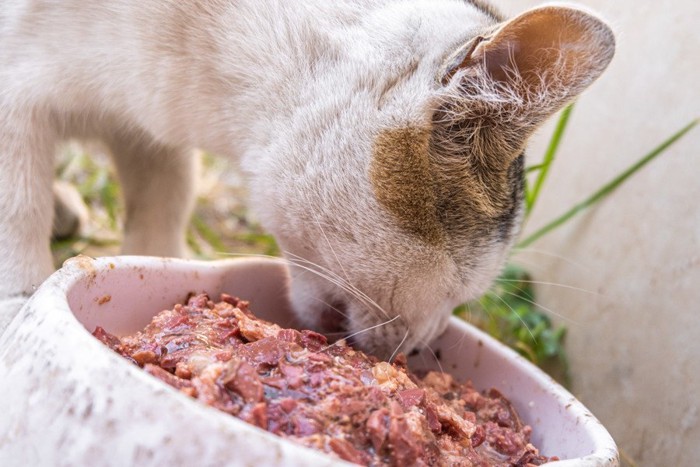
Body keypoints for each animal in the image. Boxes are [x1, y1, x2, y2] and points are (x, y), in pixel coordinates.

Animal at [0, 0, 612, 358]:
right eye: (462, 289)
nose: (426, 345)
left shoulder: (146, 132)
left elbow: (164, 206)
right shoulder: (17, 105)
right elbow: (17, 210)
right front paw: (19, 310)